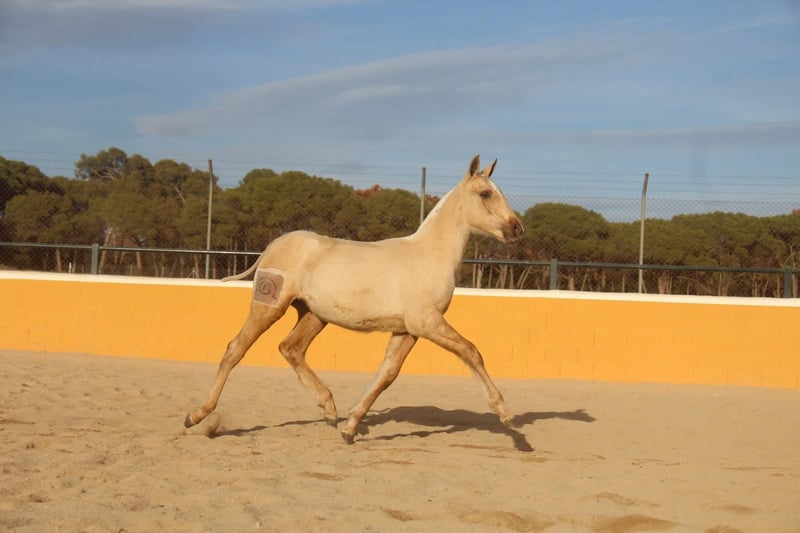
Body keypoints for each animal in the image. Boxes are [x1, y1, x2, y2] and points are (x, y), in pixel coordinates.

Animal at [184, 155, 525, 444]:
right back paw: (196, 416)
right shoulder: (426, 322)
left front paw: (350, 427)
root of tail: (272, 246)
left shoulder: (407, 330)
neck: (428, 256)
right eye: (485, 193)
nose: (517, 228)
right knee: (235, 349)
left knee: (290, 348)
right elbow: (471, 351)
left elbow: (387, 374)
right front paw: (507, 415)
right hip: (270, 306)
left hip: (313, 315)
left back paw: (329, 409)